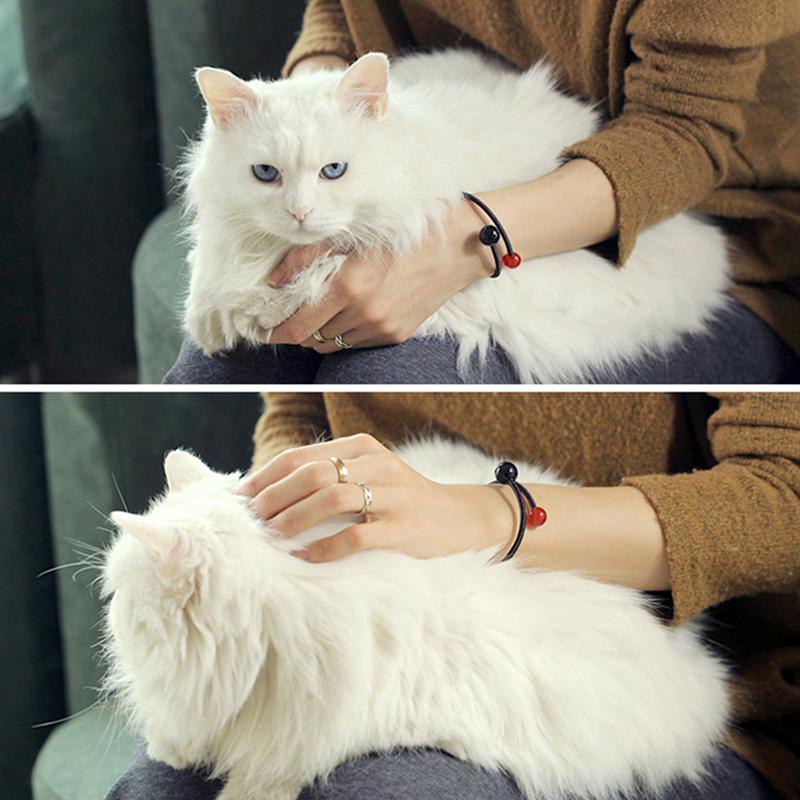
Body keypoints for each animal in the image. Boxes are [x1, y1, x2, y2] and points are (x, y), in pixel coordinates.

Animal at [181, 48, 732, 382]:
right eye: (265, 174)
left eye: (333, 170)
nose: (299, 212)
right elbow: (215, 288)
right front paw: (214, 321)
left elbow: (298, 287)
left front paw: (249, 314)